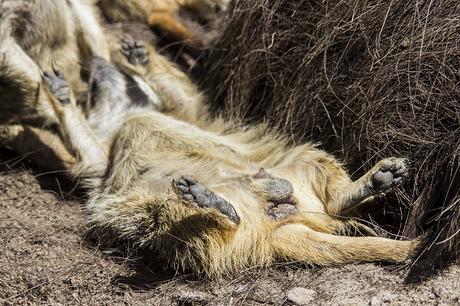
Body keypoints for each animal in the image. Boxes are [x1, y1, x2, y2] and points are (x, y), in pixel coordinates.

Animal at [0, 0, 416, 278]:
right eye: (93, 91)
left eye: (101, 81)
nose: (95, 65)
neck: (121, 116)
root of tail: (277, 226)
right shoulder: (100, 161)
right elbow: (92, 157)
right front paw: (61, 96)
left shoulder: (181, 112)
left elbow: (183, 102)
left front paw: (139, 59)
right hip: (164, 210)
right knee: (183, 221)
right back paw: (214, 203)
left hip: (298, 172)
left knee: (322, 178)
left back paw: (370, 182)